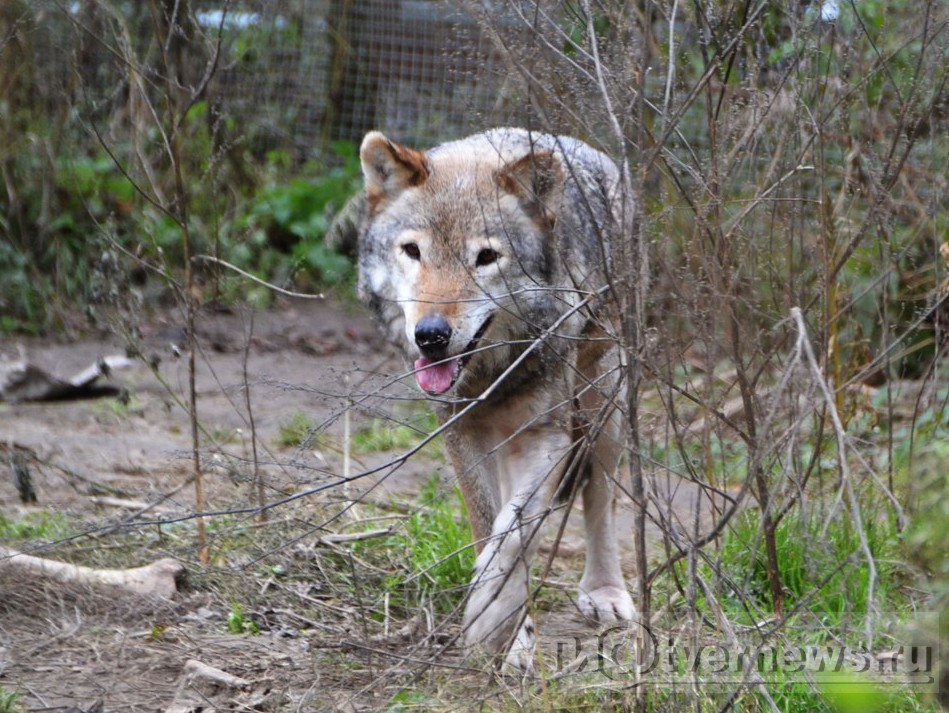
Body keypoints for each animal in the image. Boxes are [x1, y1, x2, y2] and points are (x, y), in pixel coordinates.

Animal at [352, 126, 632, 668]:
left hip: (602, 404)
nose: (431, 336)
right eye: (413, 251)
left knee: (601, 497)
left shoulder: (546, 436)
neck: (492, 373)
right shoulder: (462, 434)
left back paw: (605, 592)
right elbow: (490, 528)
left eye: (485, 257)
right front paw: (512, 635)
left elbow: (514, 537)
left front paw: (491, 622)